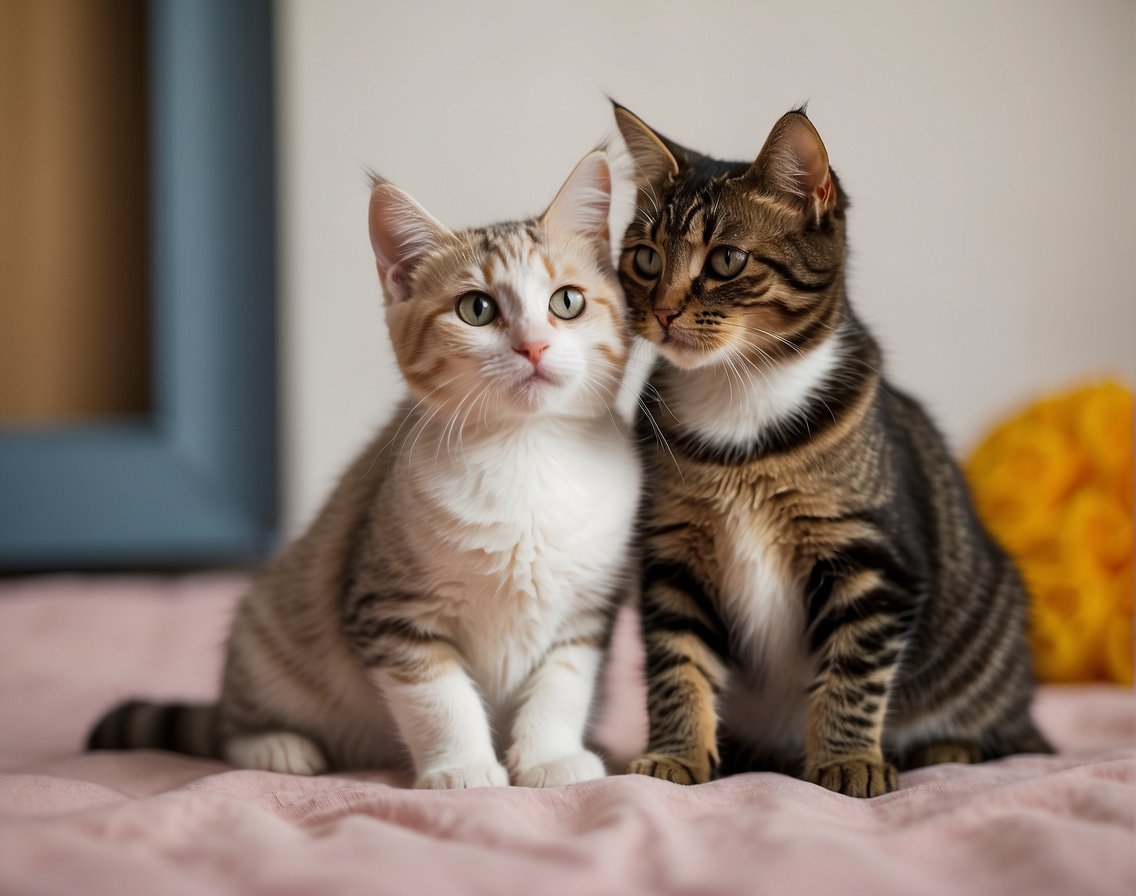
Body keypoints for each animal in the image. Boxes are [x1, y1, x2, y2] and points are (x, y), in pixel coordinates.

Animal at [86, 148, 649, 790]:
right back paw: (276, 746)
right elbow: (438, 695)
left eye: (567, 301)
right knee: (230, 727)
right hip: (268, 632)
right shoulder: (388, 609)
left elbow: (562, 685)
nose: (533, 346)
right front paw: (463, 768)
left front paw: (551, 757)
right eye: (476, 308)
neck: (526, 452)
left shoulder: (587, 611)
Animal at [613, 103, 1045, 794]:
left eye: (726, 260)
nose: (663, 310)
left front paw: (847, 762)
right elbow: (676, 666)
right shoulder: (674, 559)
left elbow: (853, 674)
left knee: (1012, 739)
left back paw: (944, 749)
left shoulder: (872, 561)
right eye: (647, 260)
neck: (739, 401)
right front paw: (675, 755)